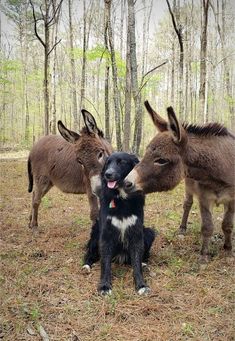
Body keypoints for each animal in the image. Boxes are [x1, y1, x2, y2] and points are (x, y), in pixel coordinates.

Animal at [82, 152, 156, 294]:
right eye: (108, 163)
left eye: (121, 162)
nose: (107, 174)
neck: (121, 199)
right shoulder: (105, 234)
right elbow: (105, 264)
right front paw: (105, 286)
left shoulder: (136, 233)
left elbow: (136, 262)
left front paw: (141, 285)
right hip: (95, 232)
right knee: (90, 253)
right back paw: (86, 266)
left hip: (149, 232)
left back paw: (144, 263)